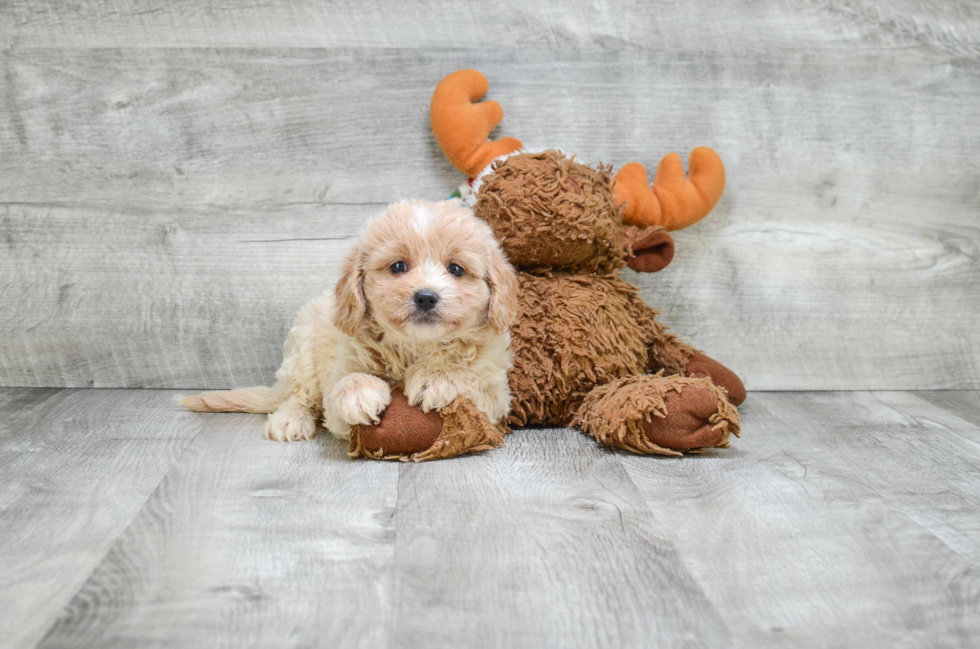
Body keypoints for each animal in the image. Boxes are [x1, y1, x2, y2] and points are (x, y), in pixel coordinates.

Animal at [179, 197, 516, 440]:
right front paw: (359, 393)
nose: (425, 296)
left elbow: (470, 379)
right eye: (398, 267)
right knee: (299, 395)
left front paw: (438, 376)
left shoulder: (497, 394)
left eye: (456, 269)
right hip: (303, 348)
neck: (414, 346)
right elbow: (343, 387)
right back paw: (290, 420)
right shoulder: (340, 373)